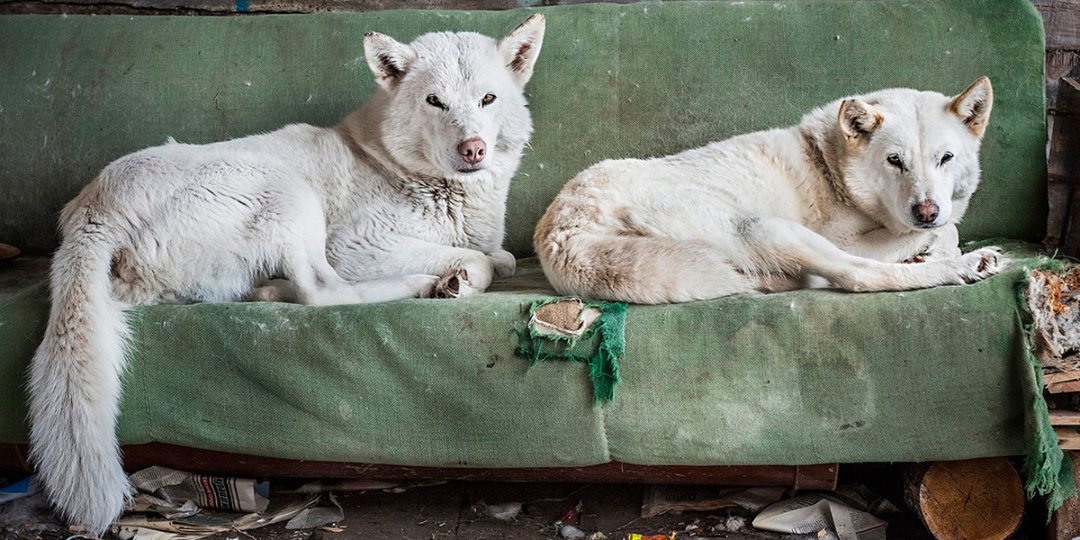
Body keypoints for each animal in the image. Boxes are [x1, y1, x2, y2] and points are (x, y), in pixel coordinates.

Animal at [29, 15, 544, 535]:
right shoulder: (357, 244)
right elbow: (480, 262)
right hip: (289, 191)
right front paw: (456, 280)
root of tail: (92, 214)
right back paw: (420, 286)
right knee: (321, 292)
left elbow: (502, 257)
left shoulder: (485, 242)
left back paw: (272, 287)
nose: (473, 149)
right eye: (434, 101)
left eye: (487, 99)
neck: (397, 164)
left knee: (266, 292)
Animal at [535, 76, 1006, 304]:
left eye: (945, 158)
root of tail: (563, 234)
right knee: (857, 276)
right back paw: (966, 266)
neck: (831, 164)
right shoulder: (850, 240)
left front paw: (931, 246)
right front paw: (938, 251)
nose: (926, 210)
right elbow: (943, 232)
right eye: (895, 161)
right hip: (767, 229)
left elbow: (942, 231)